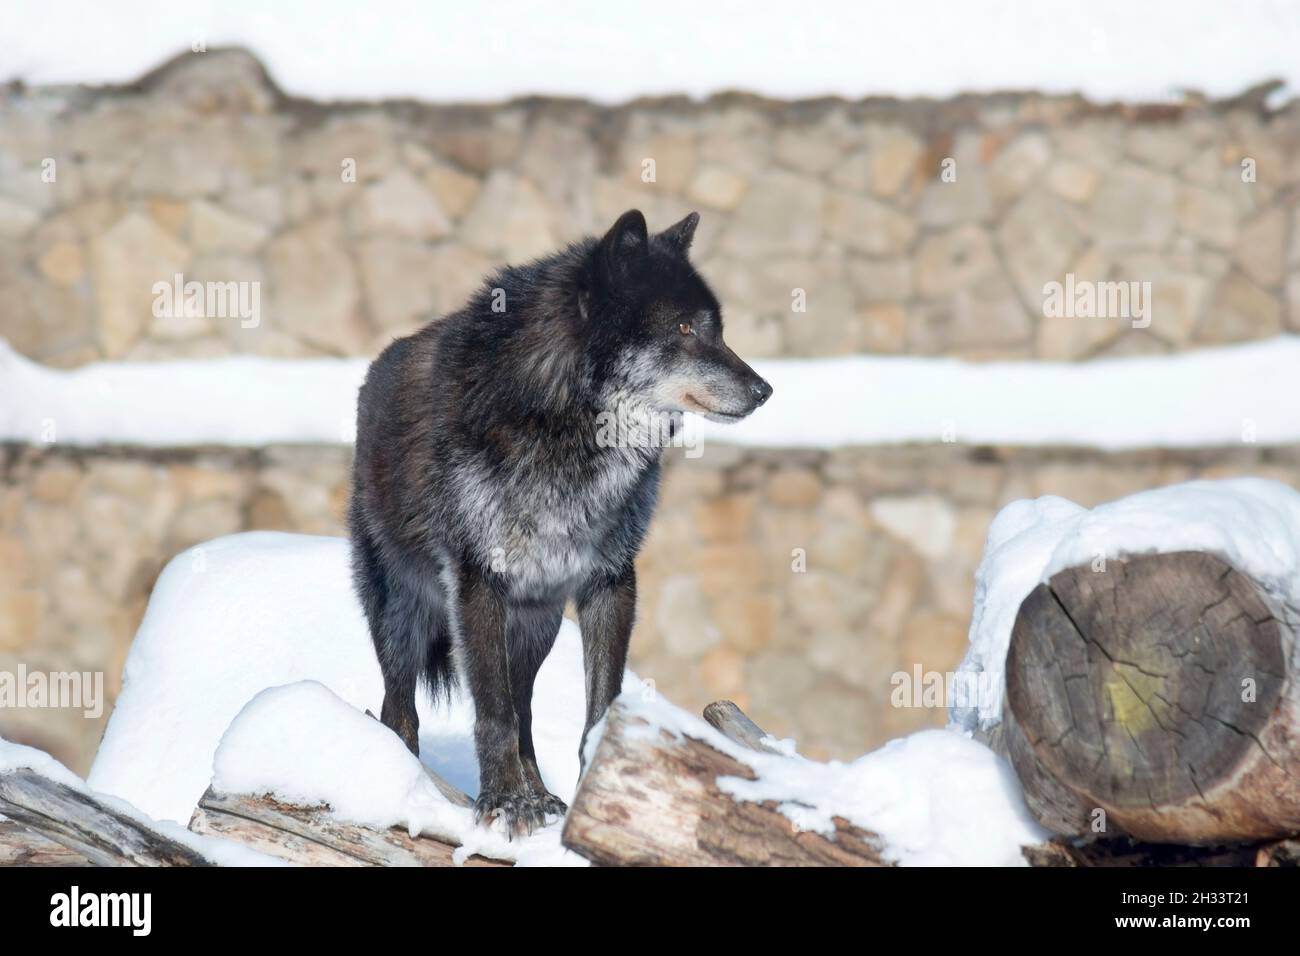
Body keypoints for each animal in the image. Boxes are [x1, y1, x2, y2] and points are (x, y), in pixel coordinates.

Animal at [349, 209, 772, 836]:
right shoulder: (477, 582)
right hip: (403, 611)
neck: (566, 425)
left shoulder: (612, 581)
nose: (764, 390)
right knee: (401, 710)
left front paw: (595, 793)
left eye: (716, 329)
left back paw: (543, 796)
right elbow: (492, 712)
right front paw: (502, 803)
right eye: (685, 328)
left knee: (524, 710)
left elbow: (595, 707)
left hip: (537, 623)